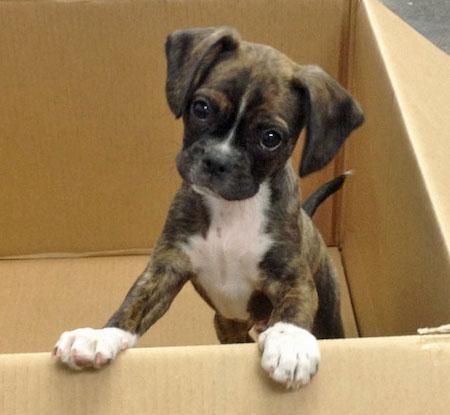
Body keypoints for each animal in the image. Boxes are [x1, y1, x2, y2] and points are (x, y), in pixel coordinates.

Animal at [53, 26, 362, 390]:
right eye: (201, 108)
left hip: (328, 311)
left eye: (271, 138)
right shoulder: (168, 266)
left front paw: (290, 344)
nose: (217, 160)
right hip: (226, 326)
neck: (231, 209)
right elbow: (135, 303)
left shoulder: (293, 277)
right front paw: (100, 336)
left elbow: (294, 307)